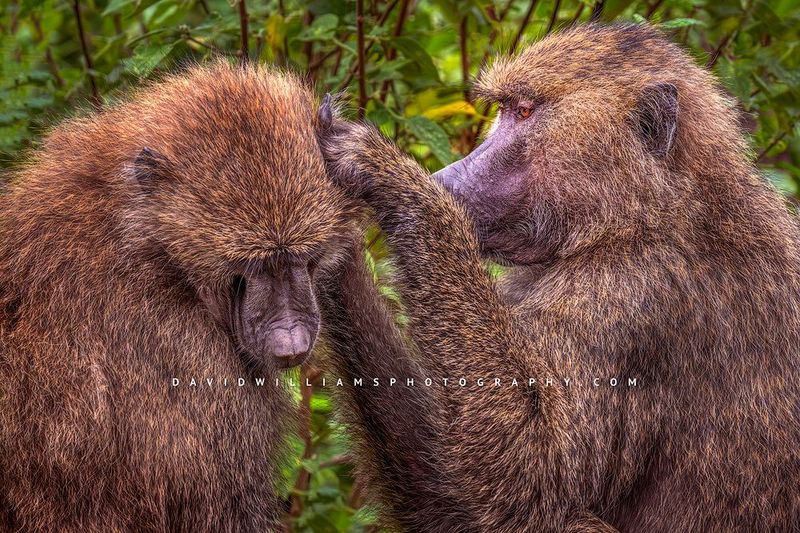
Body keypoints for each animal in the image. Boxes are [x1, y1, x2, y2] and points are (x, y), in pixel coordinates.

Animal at [316, 24, 800, 532]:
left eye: (525, 112)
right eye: (505, 111)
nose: (447, 179)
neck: (650, 210)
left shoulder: (629, 292)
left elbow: (532, 474)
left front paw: (390, 178)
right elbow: (442, 500)